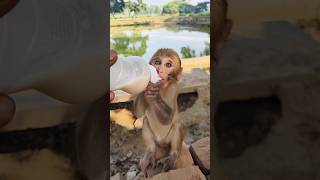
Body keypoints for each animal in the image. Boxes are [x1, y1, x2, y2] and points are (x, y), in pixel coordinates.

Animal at [134, 47, 186, 177]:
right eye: (157, 62)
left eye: (168, 65)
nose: (158, 69)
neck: (162, 87)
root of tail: (162, 143)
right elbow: (138, 113)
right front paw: (146, 85)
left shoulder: (173, 89)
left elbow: (168, 118)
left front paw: (155, 95)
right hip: (156, 141)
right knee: (145, 121)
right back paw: (149, 154)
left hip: (167, 140)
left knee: (177, 125)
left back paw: (172, 157)